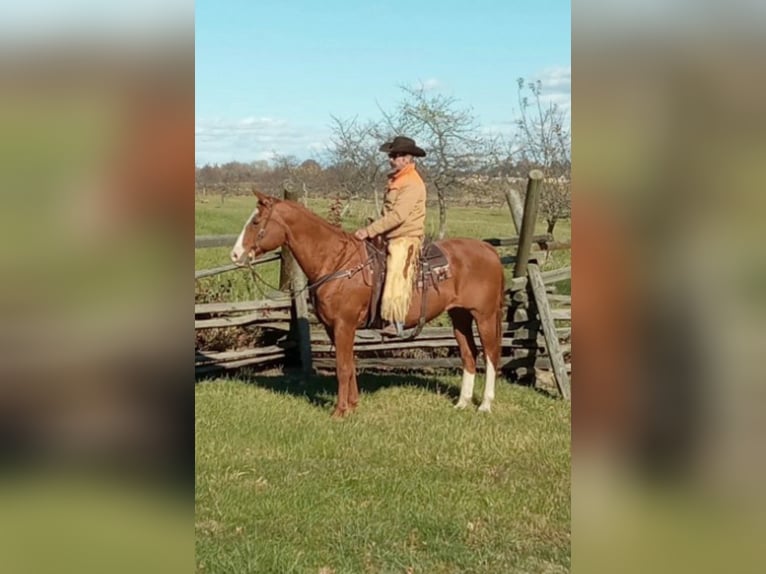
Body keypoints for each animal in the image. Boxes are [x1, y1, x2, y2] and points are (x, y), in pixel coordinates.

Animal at [230, 190, 505, 417]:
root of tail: (490, 251)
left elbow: (342, 366)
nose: (235, 254)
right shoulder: (335, 327)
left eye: (256, 222)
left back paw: (485, 405)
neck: (337, 262)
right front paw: (352, 405)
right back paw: (462, 403)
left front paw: (340, 412)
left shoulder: (344, 324)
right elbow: (350, 364)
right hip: (460, 316)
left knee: (490, 354)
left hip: (485, 316)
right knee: (469, 355)